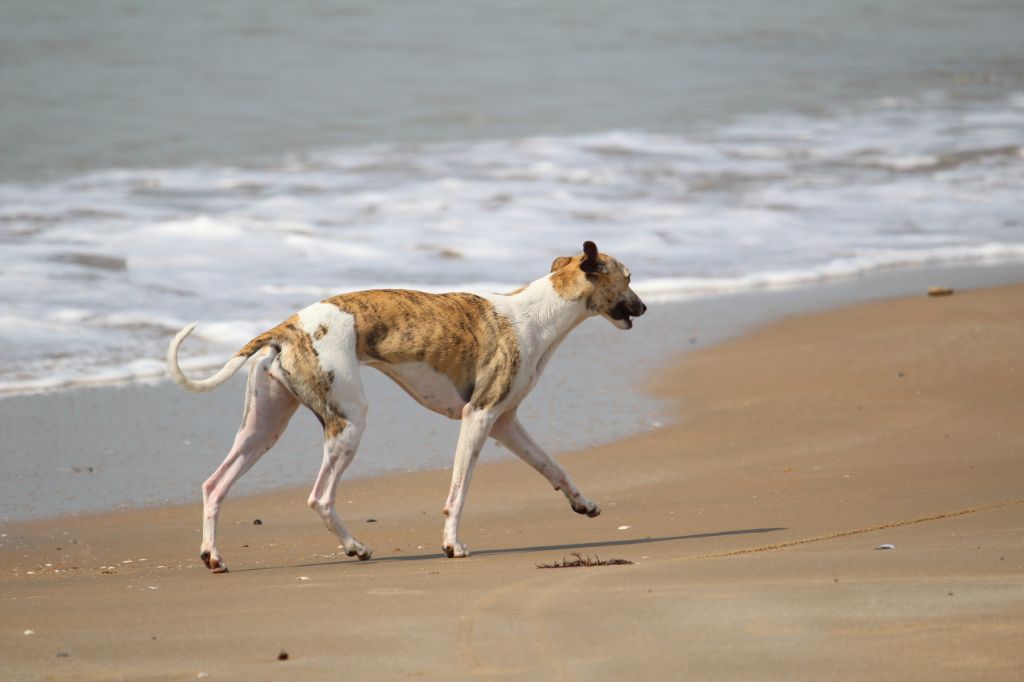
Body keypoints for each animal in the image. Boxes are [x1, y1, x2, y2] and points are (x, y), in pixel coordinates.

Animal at [169, 238, 647, 569]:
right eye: (628, 277)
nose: (643, 308)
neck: (536, 313)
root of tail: (287, 326)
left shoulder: (505, 422)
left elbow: (553, 466)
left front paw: (583, 504)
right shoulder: (479, 417)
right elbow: (458, 491)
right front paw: (453, 544)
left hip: (262, 429)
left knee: (214, 485)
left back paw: (213, 557)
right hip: (349, 422)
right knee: (319, 497)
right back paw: (355, 547)